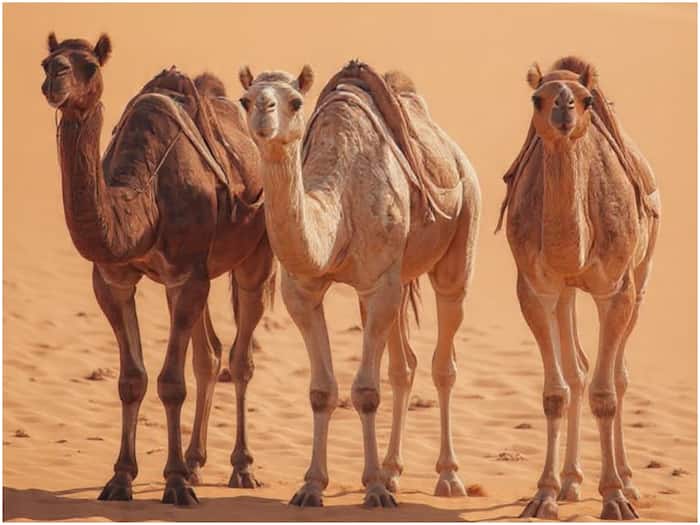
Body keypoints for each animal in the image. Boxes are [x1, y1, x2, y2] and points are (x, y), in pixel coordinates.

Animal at [40, 33, 276, 505]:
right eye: (45, 62)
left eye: (90, 66)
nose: (56, 78)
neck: (143, 198)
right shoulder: (113, 279)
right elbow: (132, 379)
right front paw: (121, 479)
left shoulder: (188, 274)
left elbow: (171, 382)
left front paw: (176, 483)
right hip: (192, 277)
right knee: (210, 354)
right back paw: (198, 460)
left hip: (254, 258)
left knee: (239, 359)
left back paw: (240, 468)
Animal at [239, 61, 481, 507]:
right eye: (245, 99)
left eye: (294, 101)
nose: (263, 111)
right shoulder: (302, 292)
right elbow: (321, 390)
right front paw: (312, 486)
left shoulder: (379, 284)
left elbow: (367, 391)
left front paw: (374, 490)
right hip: (400, 279)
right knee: (404, 367)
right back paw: (393, 471)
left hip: (461, 233)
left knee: (444, 361)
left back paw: (448, 477)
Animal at [498, 57, 660, 520]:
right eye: (537, 98)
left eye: (587, 100)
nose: (565, 108)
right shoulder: (536, 288)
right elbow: (557, 391)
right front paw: (544, 495)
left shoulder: (616, 289)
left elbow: (607, 393)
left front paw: (615, 498)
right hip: (568, 293)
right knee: (579, 370)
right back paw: (571, 481)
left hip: (642, 274)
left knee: (618, 375)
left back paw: (629, 481)